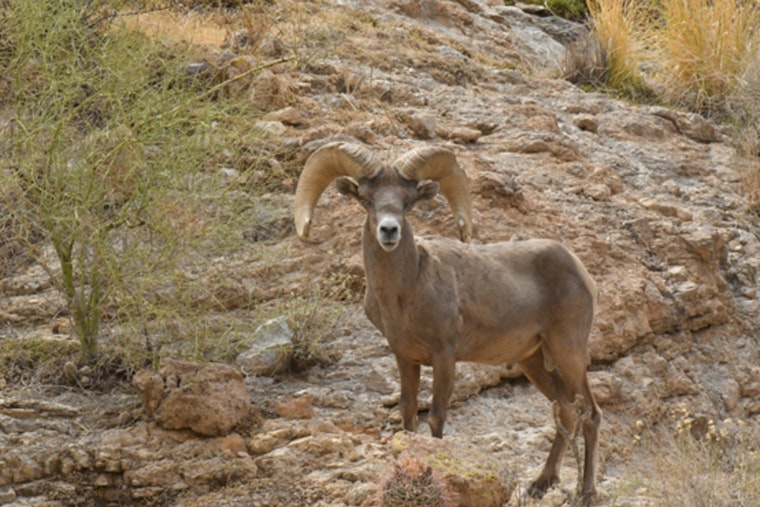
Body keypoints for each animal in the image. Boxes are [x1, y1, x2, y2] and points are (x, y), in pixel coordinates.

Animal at [294, 141, 602, 503]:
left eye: (407, 203)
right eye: (366, 200)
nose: (389, 230)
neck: (406, 293)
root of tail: (580, 271)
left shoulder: (444, 356)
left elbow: (437, 416)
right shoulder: (405, 357)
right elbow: (408, 412)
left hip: (568, 351)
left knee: (589, 414)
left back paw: (586, 492)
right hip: (534, 360)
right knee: (565, 409)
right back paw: (541, 484)